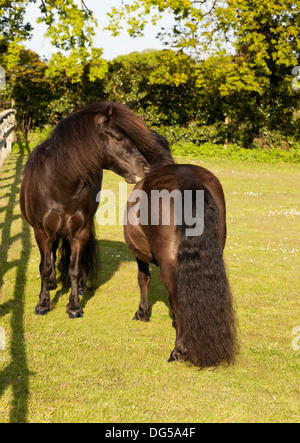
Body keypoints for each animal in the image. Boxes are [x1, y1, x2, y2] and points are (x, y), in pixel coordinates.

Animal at [20, 101, 159, 320]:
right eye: (119, 137)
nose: (146, 168)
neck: (59, 187)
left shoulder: (80, 232)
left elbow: (74, 268)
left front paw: (74, 306)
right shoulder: (41, 232)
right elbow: (45, 267)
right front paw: (42, 304)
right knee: (51, 255)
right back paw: (51, 284)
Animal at [123, 137, 238, 370]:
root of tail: (190, 183)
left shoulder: (139, 255)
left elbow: (143, 279)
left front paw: (142, 313)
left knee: (178, 297)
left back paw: (179, 351)